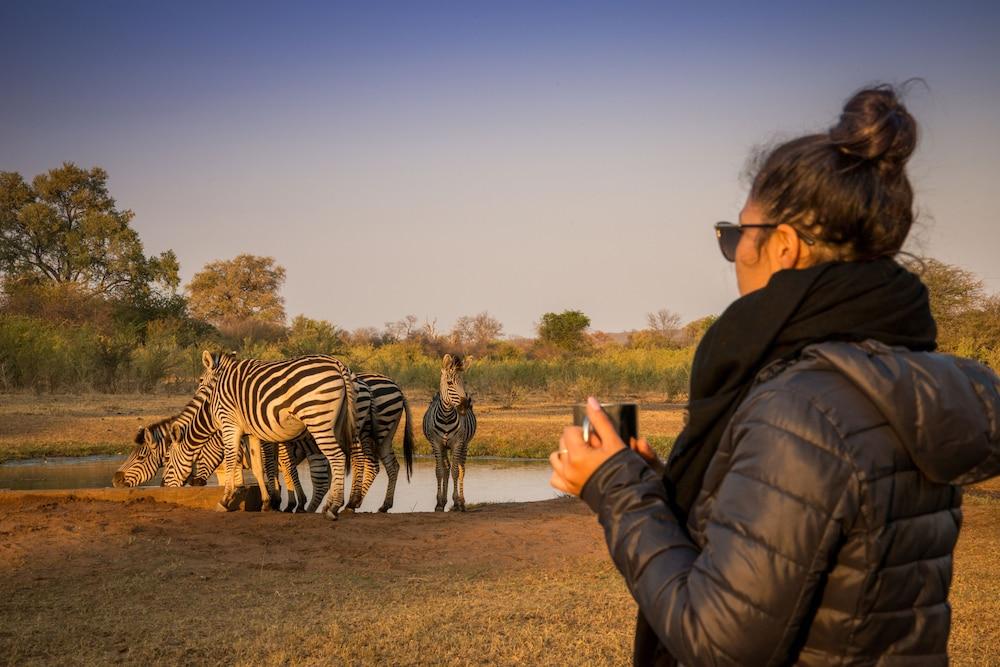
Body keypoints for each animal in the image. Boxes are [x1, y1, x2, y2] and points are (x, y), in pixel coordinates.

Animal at [195, 352, 356, 520]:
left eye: (200, 380)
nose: (196, 482)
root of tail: (337, 364)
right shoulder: (252, 432)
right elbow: (258, 467)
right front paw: (267, 502)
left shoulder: (229, 423)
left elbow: (231, 461)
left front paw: (225, 500)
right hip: (336, 424)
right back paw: (329, 505)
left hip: (318, 420)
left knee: (337, 458)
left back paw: (333, 508)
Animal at [422, 354, 476, 512]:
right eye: (449, 382)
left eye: (463, 382)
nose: (465, 405)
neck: (446, 417)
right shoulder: (437, 444)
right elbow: (440, 471)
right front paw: (439, 503)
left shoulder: (457, 443)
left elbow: (456, 472)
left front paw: (457, 501)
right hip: (445, 447)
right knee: (446, 469)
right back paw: (443, 501)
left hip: (465, 445)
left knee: (461, 469)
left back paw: (461, 502)